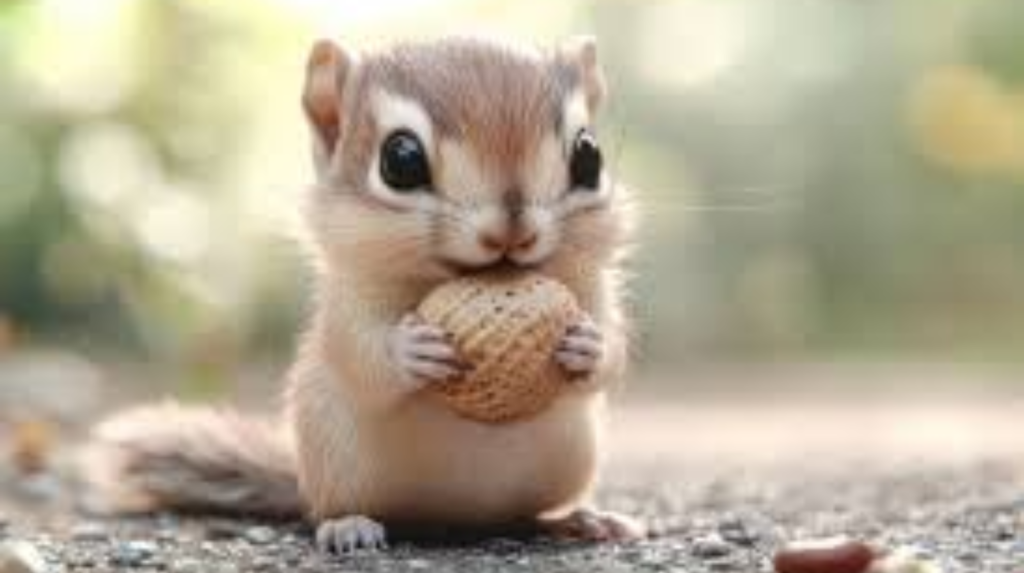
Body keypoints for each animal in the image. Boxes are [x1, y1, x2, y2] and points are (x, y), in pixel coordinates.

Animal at [83, 35, 644, 553]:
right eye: (401, 159)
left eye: (589, 155)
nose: (512, 233)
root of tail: (460, 518)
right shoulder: (346, 302)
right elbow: (360, 353)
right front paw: (409, 350)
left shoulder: (594, 286)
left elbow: (615, 347)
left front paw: (587, 345)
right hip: (333, 466)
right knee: (333, 509)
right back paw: (349, 526)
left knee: (532, 515)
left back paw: (584, 519)